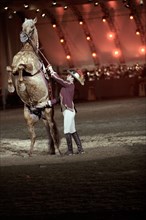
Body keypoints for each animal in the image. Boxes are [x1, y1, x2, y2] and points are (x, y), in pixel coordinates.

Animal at [6, 17, 61, 156]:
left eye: (32, 26)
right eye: (22, 26)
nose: (22, 36)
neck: (27, 50)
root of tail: (39, 110)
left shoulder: (30, 68)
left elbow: (21, 67)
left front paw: (20, 83)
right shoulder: (13, 66)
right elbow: (10, 68)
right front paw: (12, 86)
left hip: (48, 114)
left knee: (52, 132)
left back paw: (58, 152)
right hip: (29, 118)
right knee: (34, 136)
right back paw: (30, 154)